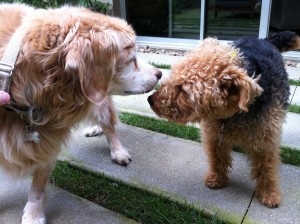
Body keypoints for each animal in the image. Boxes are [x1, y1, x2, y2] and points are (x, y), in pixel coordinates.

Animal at [0, 3, 162, 224]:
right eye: (132, 59)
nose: (160, 74)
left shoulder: (46, 146)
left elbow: (37, 188)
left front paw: (33, 215)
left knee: (109, 125)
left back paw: (118, 151)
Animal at [149, 31, 300, 208]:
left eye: (183, 89)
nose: (150, 100)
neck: (232, 114)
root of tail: (263, 39)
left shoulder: (265, 141)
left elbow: (266, 168)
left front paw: (269, 195)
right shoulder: (214, 136)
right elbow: (217, 158)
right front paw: (216, 179)